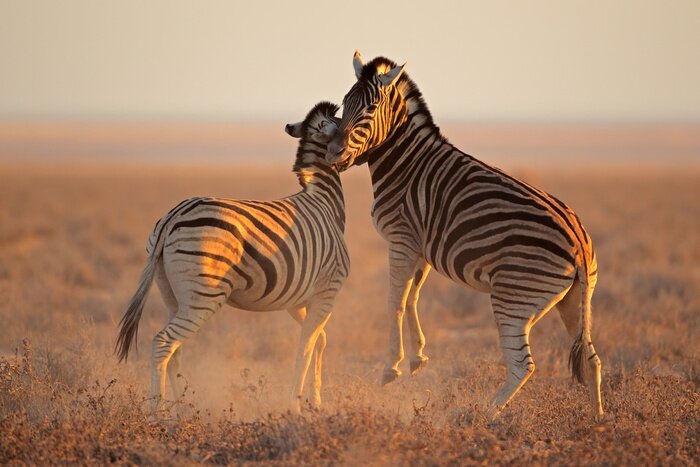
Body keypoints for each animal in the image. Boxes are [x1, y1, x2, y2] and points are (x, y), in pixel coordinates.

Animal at [115, 101, 349, 414]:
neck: (324, 201)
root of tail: (171, 217)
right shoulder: (327, 291)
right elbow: (306, 347)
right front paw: (296, 406)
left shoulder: (299, 299)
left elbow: (318, 341)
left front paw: (316, 401)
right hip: (204, 296)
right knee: (163, 343)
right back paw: (156, 412)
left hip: (171, 294)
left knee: (174, 349)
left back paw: (182, 409)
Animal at [324, 51, 604, 420]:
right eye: (345, 102)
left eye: (370, 107)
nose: (333, 153)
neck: (405, 163)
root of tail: (578, 241)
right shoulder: (420, 247)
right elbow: (412, 298)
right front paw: (417, 358)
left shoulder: (401, 238)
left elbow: (394, 301)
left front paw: (391, 368)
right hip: (574, 301)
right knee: (591, 359)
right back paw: (599, 421)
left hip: (513, 299)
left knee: (522, 366)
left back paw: (484, 416)